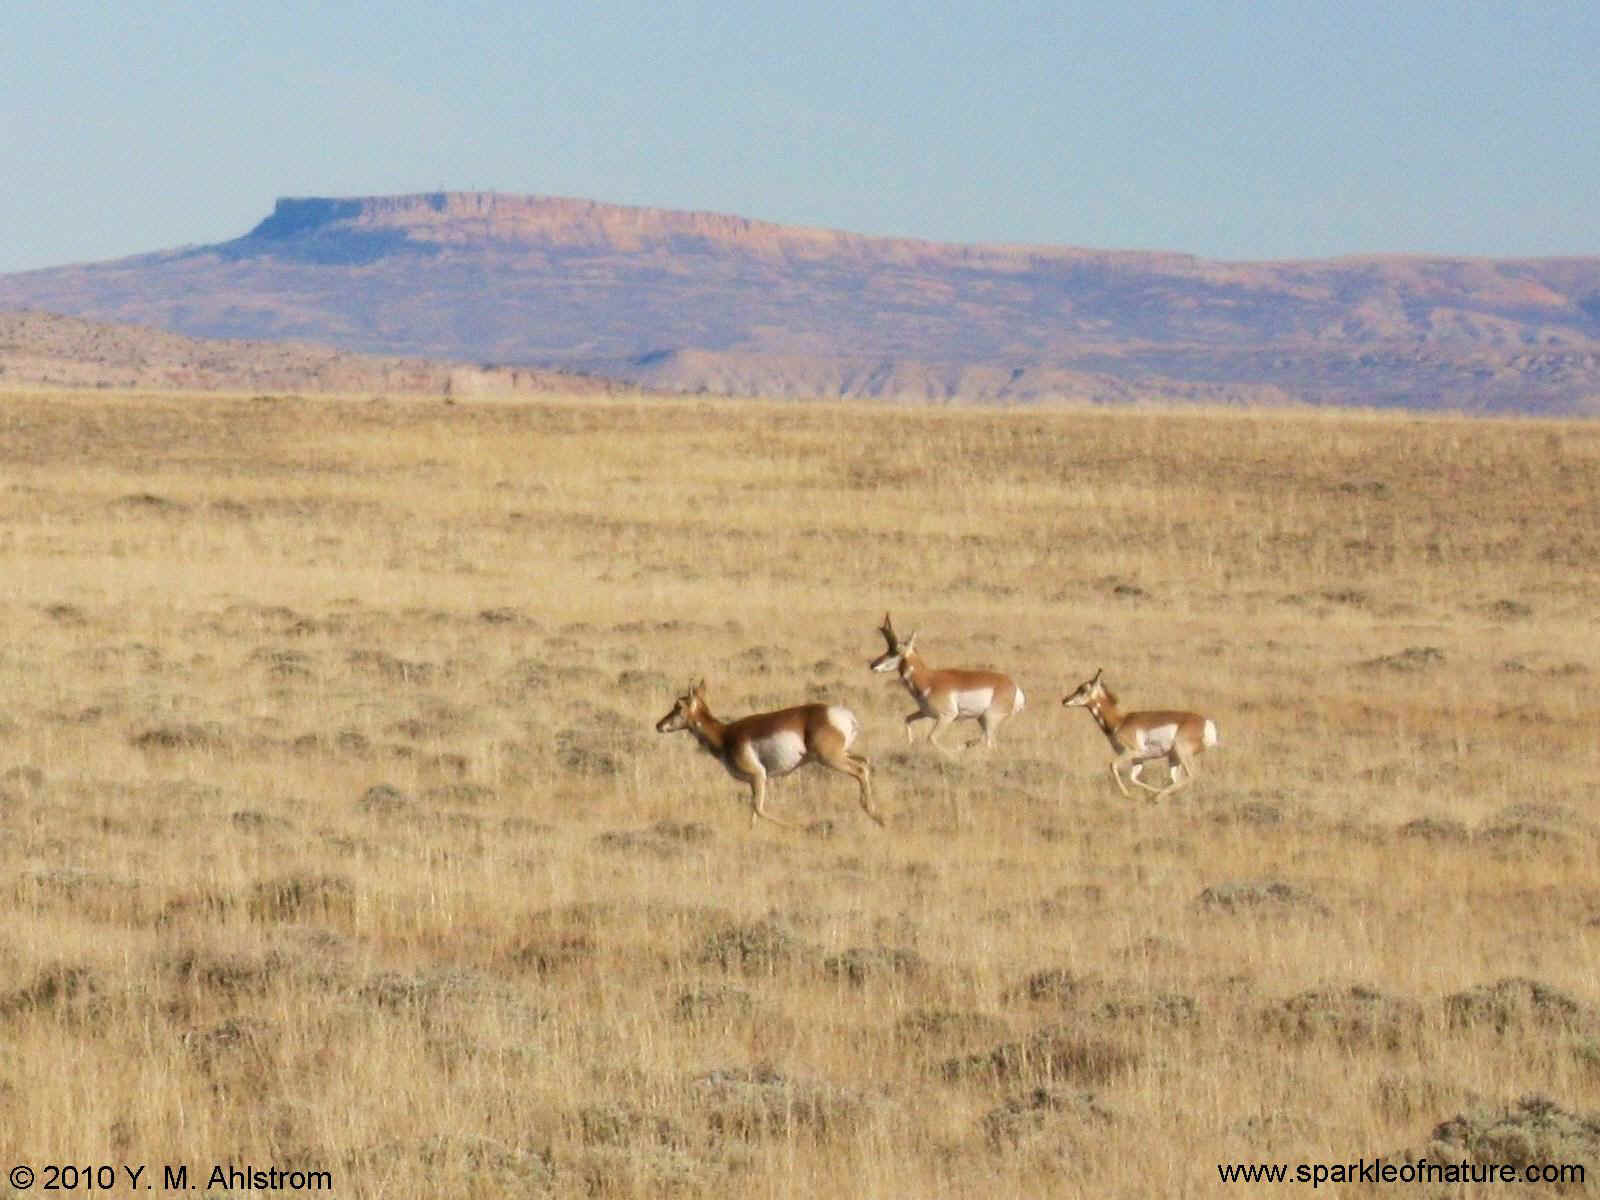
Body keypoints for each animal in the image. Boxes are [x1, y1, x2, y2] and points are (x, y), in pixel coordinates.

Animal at [652, 681, 889, 832]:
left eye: (678, 706)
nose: (658, 725)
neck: (725, 734)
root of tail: (844, 716)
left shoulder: (759, 776)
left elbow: (759, 808)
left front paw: (797, 826)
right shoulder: (753, 781)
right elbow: (753, 812)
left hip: (830, 759)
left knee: (860, 770)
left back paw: (877, 816)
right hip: (842, 754)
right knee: (865, 763)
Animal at [876, 620, 1024, 752]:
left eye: (895, 652)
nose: (873, 665)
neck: (929, 679)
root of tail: (1014, 686)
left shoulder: (946, 717)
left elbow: (931, 738)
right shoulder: (924, 713)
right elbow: (907, 719)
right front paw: (911, 743)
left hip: (990, 719)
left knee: (988, 743)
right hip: (982, 719)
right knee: (988, 741)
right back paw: (966, 745)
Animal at [1068, 672, 1216, 803]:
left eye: (1083, 689)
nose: (1065, 700)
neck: (1120, 721)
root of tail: (1206, 723)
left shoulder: (1132, 752)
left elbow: (1113, 765)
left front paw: (1129, 795)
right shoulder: (1138, 759)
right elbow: (1133, 778)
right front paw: (1150, 793)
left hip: (1181, 753)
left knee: (1192, 775)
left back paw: (1157, 798)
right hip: (1174, 759)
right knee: (1177, 780)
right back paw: (1159, 796)